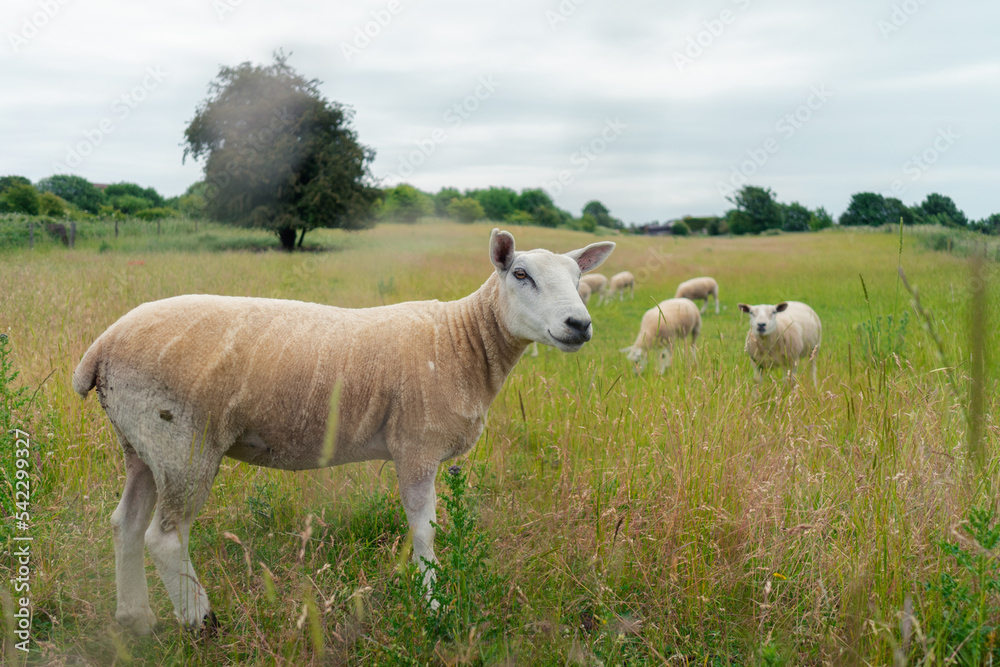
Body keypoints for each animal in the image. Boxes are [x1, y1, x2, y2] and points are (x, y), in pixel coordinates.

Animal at [73, 228, 615, 635]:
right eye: (521, 275)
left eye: (578, 277)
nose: (579, 324)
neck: (464, 340)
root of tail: (101, 347)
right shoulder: (416, 446)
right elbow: (425, 530)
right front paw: (433, 606)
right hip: (182, 439)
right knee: (164, 537)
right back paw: (201, 621)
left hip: (142, 441)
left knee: (126, 523)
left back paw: (136, 619)